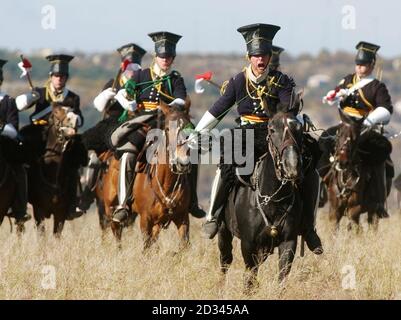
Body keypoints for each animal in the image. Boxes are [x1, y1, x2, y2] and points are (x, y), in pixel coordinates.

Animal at [25, 104, 87, 236]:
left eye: (73, 111)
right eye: (56, 112)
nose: (74, 119)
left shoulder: (61, 213)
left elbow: (57, 234)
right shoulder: (38, 210)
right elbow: (42, 234)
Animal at [217, 111, 304, 288]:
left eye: (299, 128)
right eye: (272, 129)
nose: (292, 166)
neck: (273, 199)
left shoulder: (289, 242)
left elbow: (282, 276)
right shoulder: (248, 244)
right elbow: (250, 278)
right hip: (224, 232)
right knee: (225, 261)